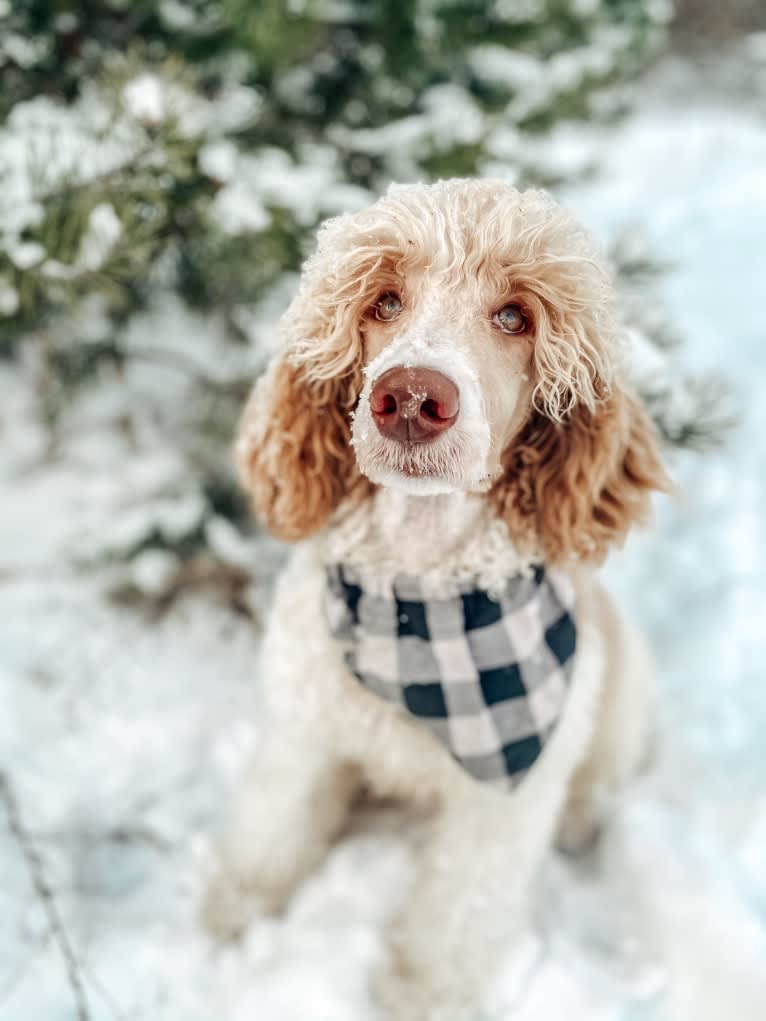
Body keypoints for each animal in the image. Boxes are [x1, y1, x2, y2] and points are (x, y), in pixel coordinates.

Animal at [205, 181, 669, 1021]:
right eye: (384, 301)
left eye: (515, 316)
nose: (413, 395)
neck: (418, 599)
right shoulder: (303, 732)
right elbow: (273, 822)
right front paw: (240, 902)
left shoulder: (505, 800)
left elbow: (458, 909)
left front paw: (422, 991)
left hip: (621, 689)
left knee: (600, 777)